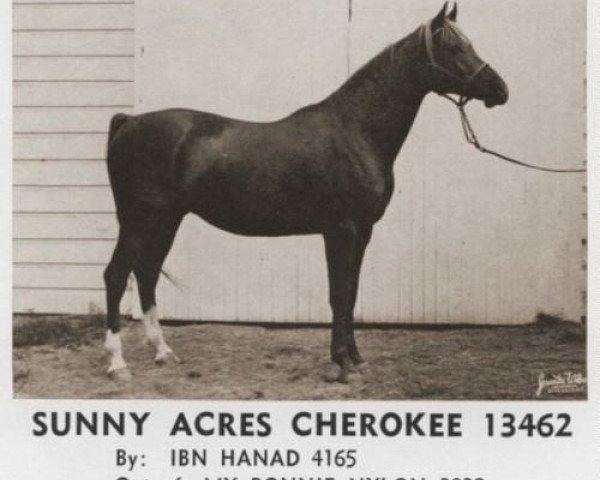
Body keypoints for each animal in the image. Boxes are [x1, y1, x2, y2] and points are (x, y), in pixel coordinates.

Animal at [102, 0, 506, 382]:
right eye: (454, 47)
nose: (500, 90)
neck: (355, 131)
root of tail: (130, 121)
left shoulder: (363, 231)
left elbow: (351, 291)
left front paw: (355, 358)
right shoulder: (340, 230)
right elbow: (338, 293)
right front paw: (342, 363)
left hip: (166, 220)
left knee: (147, 272)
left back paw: (163, 351)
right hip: (141, 220)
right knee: (117, 275)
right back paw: (118, 364)